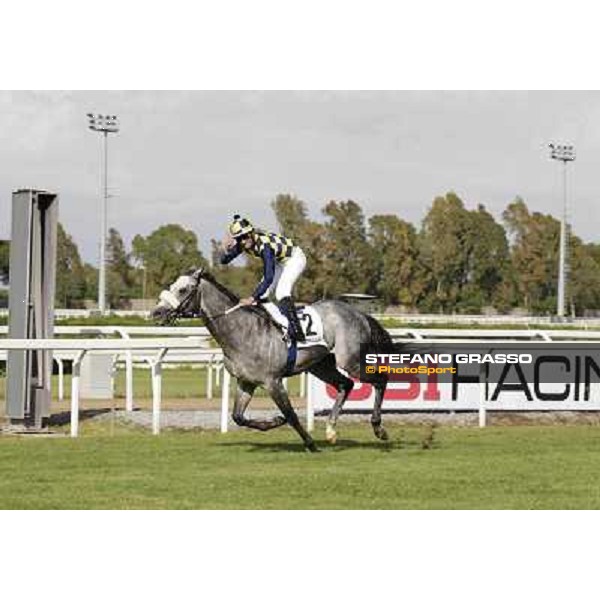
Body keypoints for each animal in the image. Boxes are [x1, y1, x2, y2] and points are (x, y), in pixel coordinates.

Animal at [152, 270, 392, 452]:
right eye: (172, 285)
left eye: (183, 289)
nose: (156, 313)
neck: (241, 331)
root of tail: (359, 314)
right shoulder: (246, 382)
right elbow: (238, 417)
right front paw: (275, 421)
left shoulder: (272, 381)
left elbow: (291, 414)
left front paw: (310, 443)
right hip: (321, 365)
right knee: (346, 384)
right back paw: (331, 430)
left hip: (350, 359)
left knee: (380, 379)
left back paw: (378, 428)